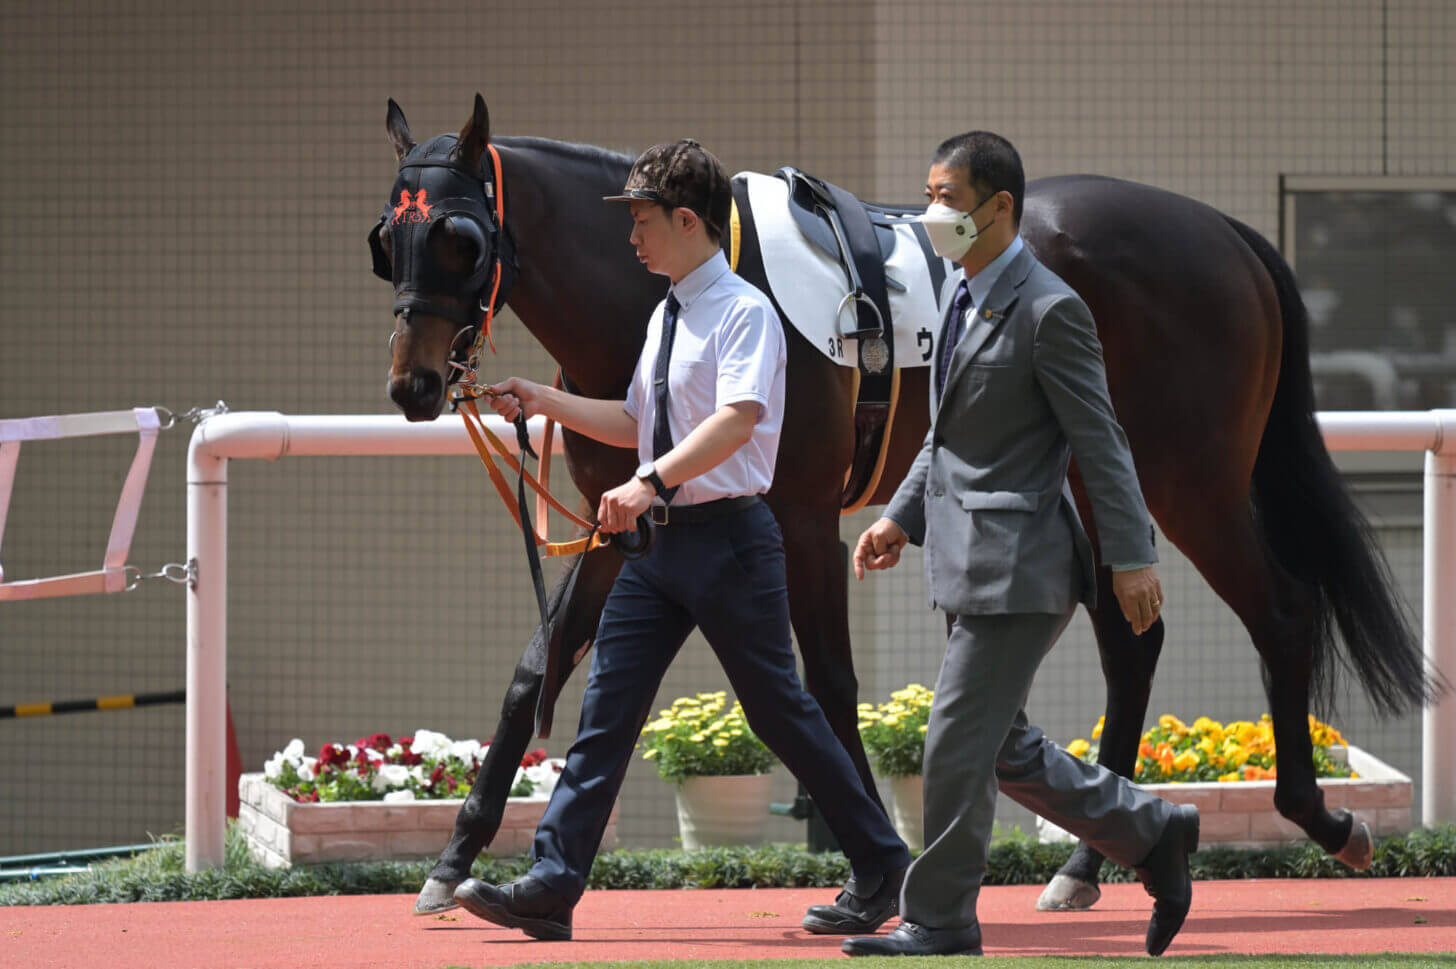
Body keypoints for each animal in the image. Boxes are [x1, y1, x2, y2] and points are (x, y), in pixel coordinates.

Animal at [378, 94, 1432, 907]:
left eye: (461, 237)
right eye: (386, 239)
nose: (413, 386)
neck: (660, 300)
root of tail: (1226, 233)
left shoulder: (800, 515)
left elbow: (827, 687)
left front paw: (872, 867)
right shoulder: (622, 515)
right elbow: (537, 668)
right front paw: (455, 860)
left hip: (1192, 476)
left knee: (1282, 608)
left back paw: (1319, 817)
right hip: (1099, 472)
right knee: (1134, 638)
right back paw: (1088, 863)